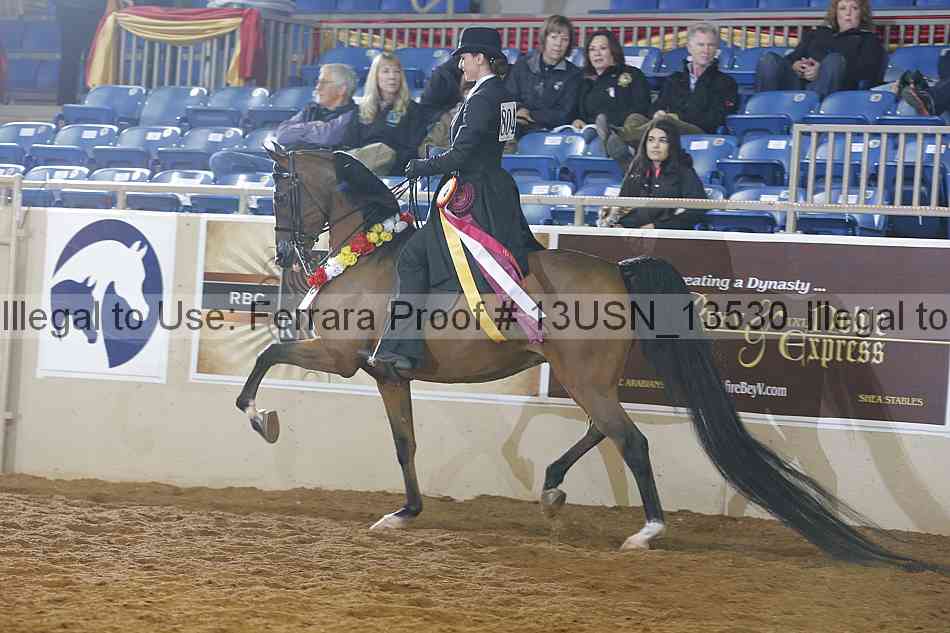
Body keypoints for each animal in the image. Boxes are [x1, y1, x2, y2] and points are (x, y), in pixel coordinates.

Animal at [234, 146, 926, 569]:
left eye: (281, 187)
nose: (283, 255)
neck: (370, 252)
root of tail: (620, 269)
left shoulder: (342, 356)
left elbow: (265, 359)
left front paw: (263, 422)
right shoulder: (384, 374)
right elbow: (404, 444)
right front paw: (405, 514)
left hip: (583, 376)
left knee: (632, 440)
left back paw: (646, 531)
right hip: (583, 376)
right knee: (604, 429)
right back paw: (552, 489)